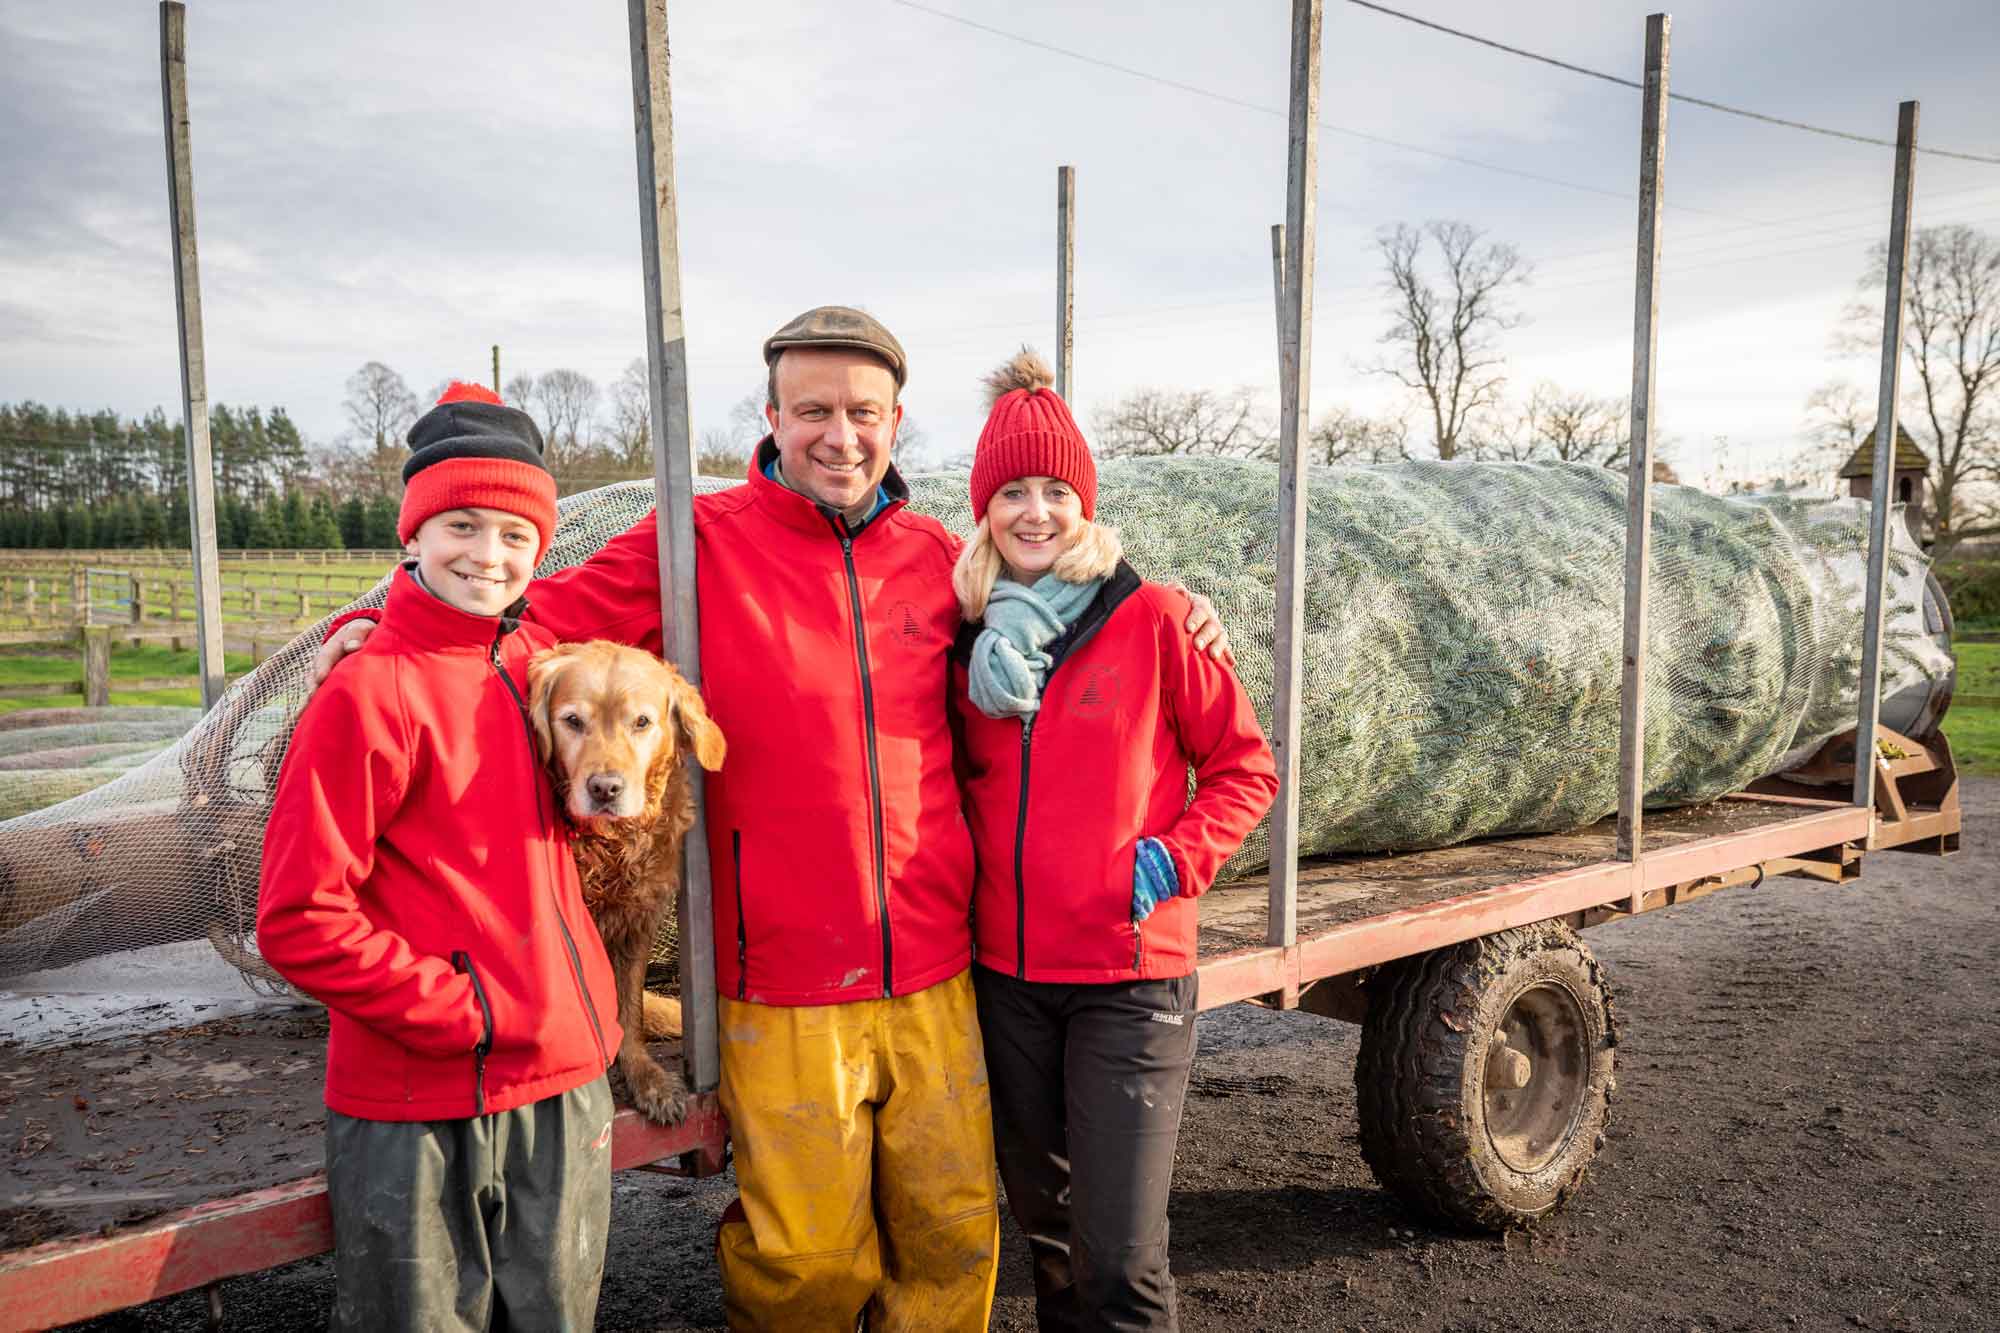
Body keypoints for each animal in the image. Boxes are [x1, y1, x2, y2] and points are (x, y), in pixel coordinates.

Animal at [524, 640, 728, 1112]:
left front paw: (646, 1078)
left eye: (641, 722)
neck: (611, 846)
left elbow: (629, 1008)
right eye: (573, 721)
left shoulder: (637, 922)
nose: (605, 788)